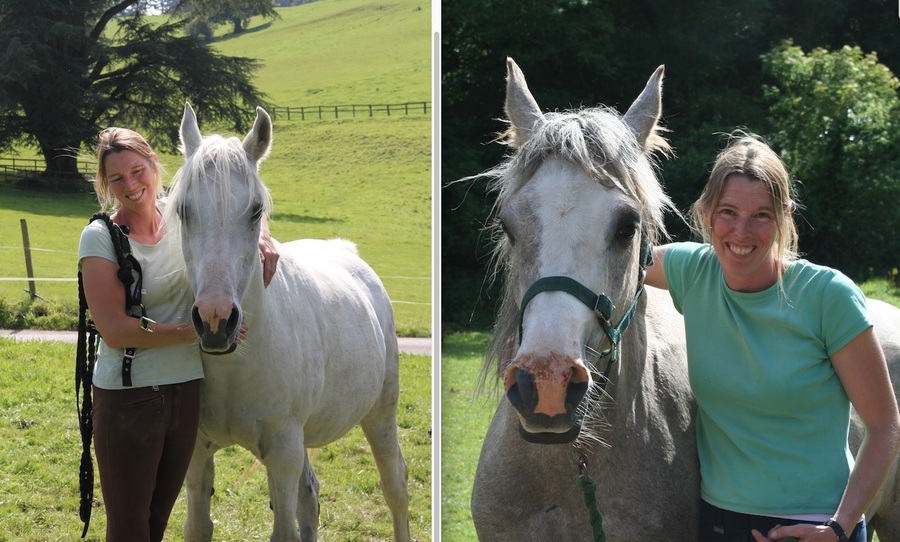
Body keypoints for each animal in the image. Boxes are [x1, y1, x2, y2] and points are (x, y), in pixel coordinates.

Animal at [167, 103, 410, 542]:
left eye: (255, 211)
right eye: (182, 210)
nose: (215, 320)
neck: (237, 364)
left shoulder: (282, 454)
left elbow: (284, 530)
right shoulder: (197, 452)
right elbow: (198, 525)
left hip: (380, 414)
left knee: (395, 488)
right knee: (310, 497)